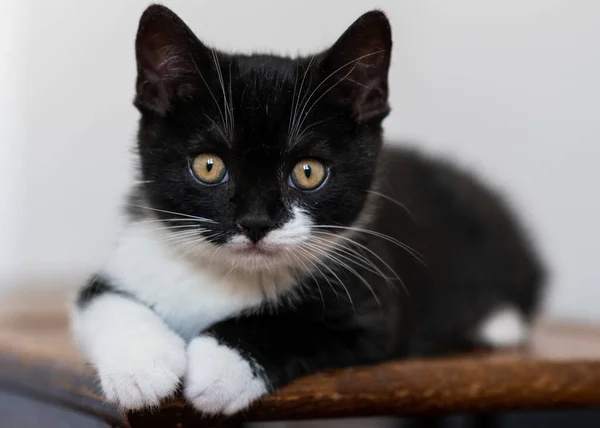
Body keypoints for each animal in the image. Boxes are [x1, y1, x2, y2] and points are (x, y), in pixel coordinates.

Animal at [70, 4, 544, 414]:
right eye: (208, 166)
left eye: (309, 172)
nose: (256, 222)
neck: (228, 275)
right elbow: (101, 300)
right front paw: (141, 367)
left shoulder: (375, 307)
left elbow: (290, 327)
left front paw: (219, 366)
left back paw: (500, 323)